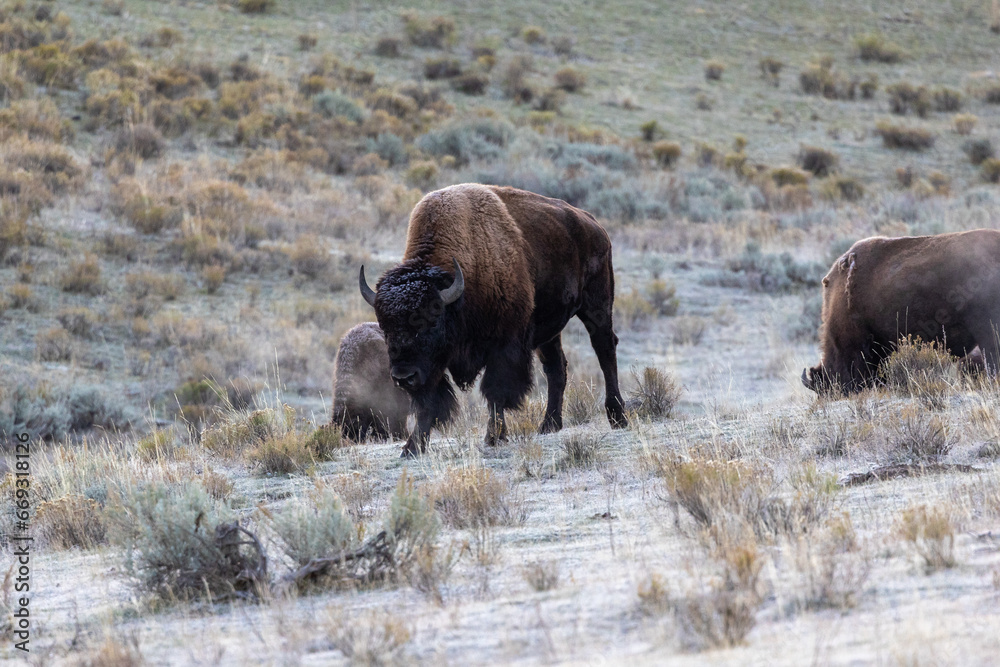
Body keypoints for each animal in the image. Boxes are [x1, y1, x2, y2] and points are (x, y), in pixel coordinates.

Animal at [358, 183, 624, 456]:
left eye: (431, 321)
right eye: (385, 327)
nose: (403, 377)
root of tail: (594, 224)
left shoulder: (504, 346)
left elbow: (495, 392)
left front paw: (493, 437)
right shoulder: (432, 364)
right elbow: (427, 402)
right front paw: (412, 448)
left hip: (597, 306)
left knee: (605, 350)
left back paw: (617, 417)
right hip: (549, 331)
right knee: (556, 368)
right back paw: (549, 425)